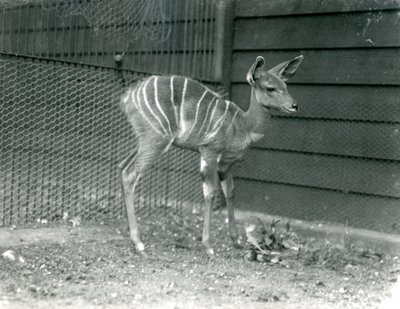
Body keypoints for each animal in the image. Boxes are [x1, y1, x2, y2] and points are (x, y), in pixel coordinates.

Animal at [119, 55, 304, 255]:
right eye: (270, 87)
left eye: (285, 86)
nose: (294, 105)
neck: (244, 125)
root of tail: (128, 97)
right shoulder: (209, 151)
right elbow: (210, 193)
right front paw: (208, 246)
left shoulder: (226, 163)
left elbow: (230, 191)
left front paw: (236, 241)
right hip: (156, 139)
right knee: (130, 174)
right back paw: (138, 243)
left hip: (144, 140)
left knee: (123, 166)